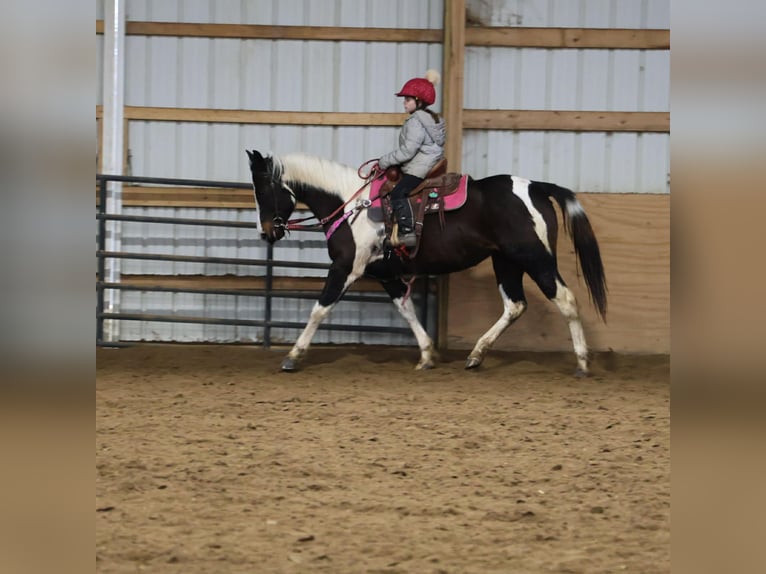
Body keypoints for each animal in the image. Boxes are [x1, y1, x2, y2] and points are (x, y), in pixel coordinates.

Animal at [246, 149, 607, 376]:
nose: (266, 232)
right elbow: (406, 310)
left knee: (565, 300)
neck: (351, 205)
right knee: (515, 305)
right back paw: (476, 355)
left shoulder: (346, 267)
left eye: (263, 190)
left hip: (535, 258)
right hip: (506, 262)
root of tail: (537, 188)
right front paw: (427, 355)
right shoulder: (385, 274)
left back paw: (582, 363)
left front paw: (293, 356)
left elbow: (320, 309)